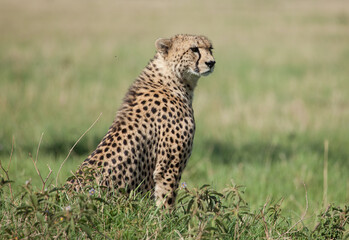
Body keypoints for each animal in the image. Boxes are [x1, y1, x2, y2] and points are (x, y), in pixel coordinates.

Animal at [67, 33, 215, 208]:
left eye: (210, 48)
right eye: (194, 49)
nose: (211, 62)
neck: (172, 79)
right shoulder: (168, 168)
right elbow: (166, 200)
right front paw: (166, 216)